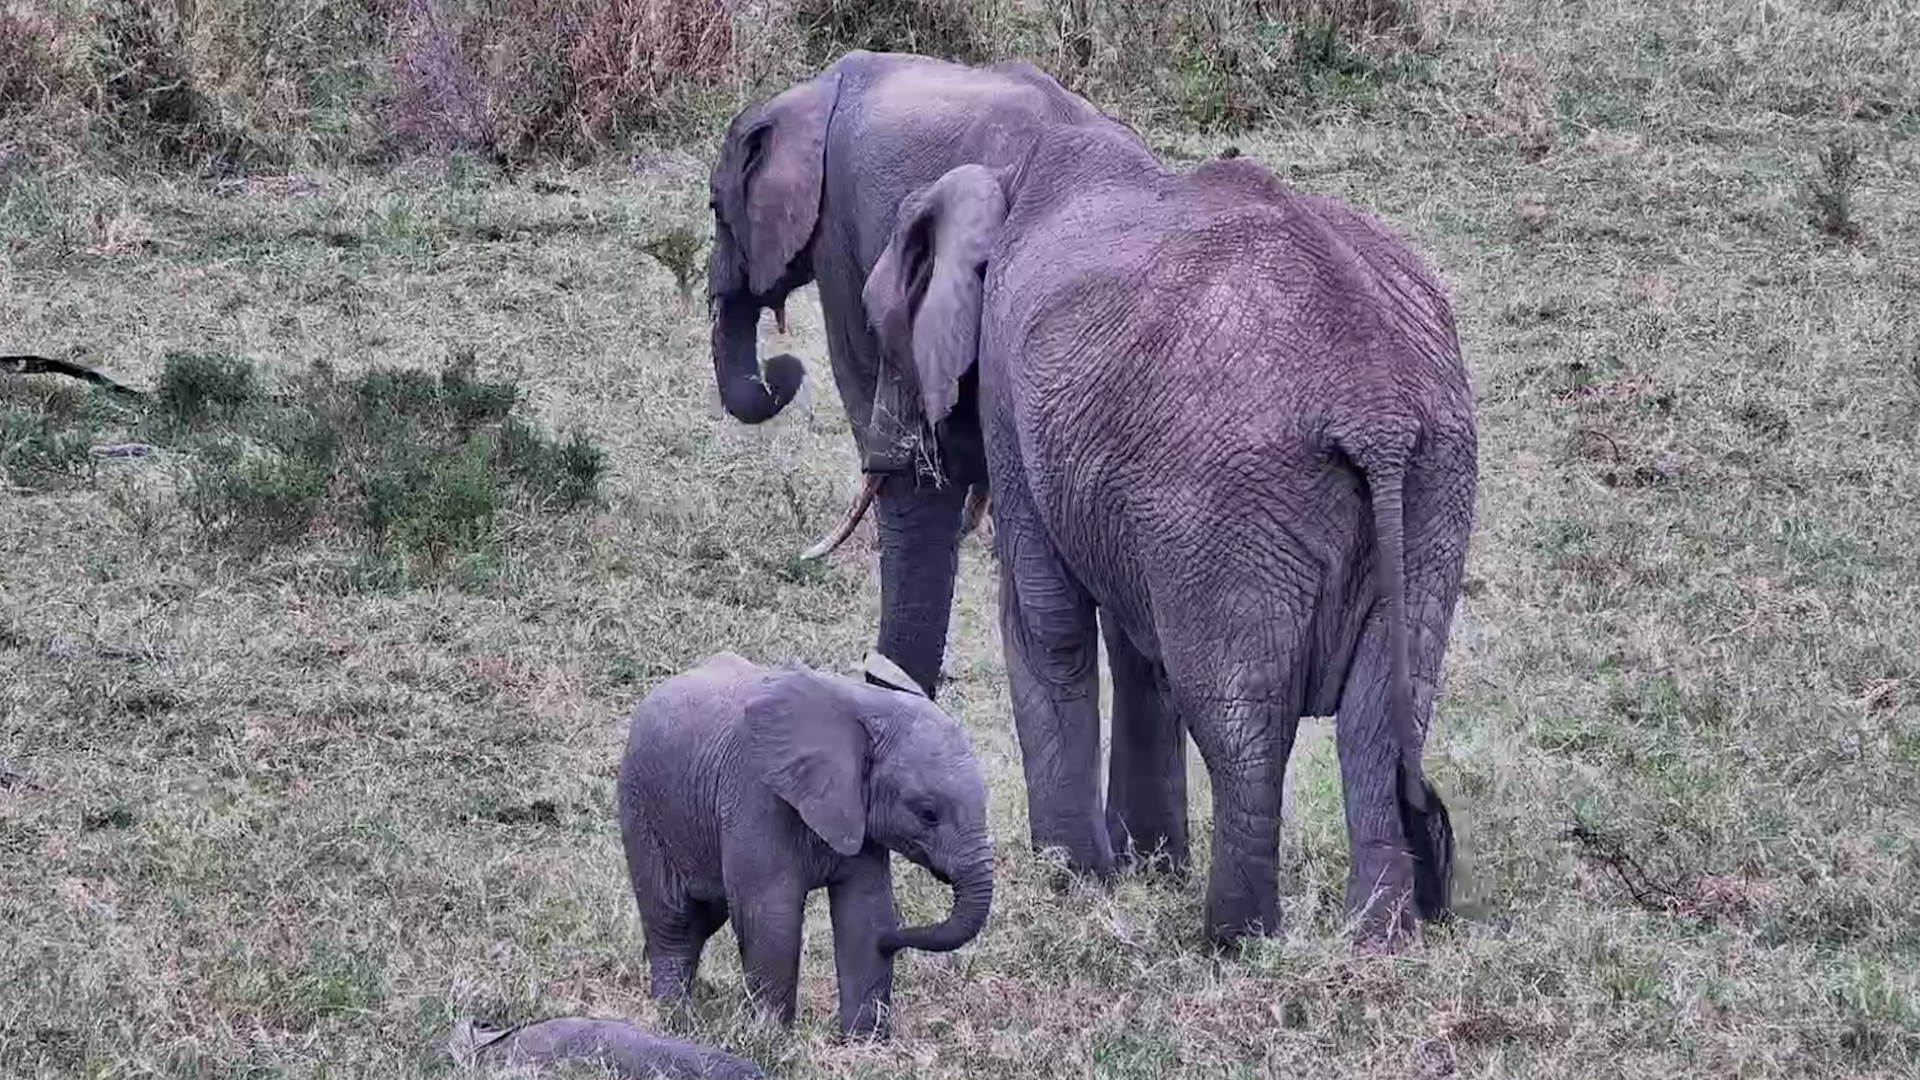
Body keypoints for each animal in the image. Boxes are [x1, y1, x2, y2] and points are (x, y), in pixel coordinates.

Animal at [617, 652, 994, 1039]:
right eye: (928, 813)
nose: (894, 939)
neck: (866, 705)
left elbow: (864, 912)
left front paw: (863, 1041)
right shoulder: (756, 794)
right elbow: (771, 915)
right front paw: (770, 1038)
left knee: (704, 917)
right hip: (642, 807)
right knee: (673, 918)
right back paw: (674, 1021)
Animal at [859, 129, 1477, 945]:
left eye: (879, 328)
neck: (1008, 176)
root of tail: (1373, 404)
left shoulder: (1010, 395)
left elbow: (1045, 623)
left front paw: (1074, 882)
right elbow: (1136, 648)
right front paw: (1147, 867)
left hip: (1234, 498)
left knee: (1241, 719)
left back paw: (1234, 941)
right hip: (1429, 485)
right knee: (1377, 721)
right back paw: (1374, 940)